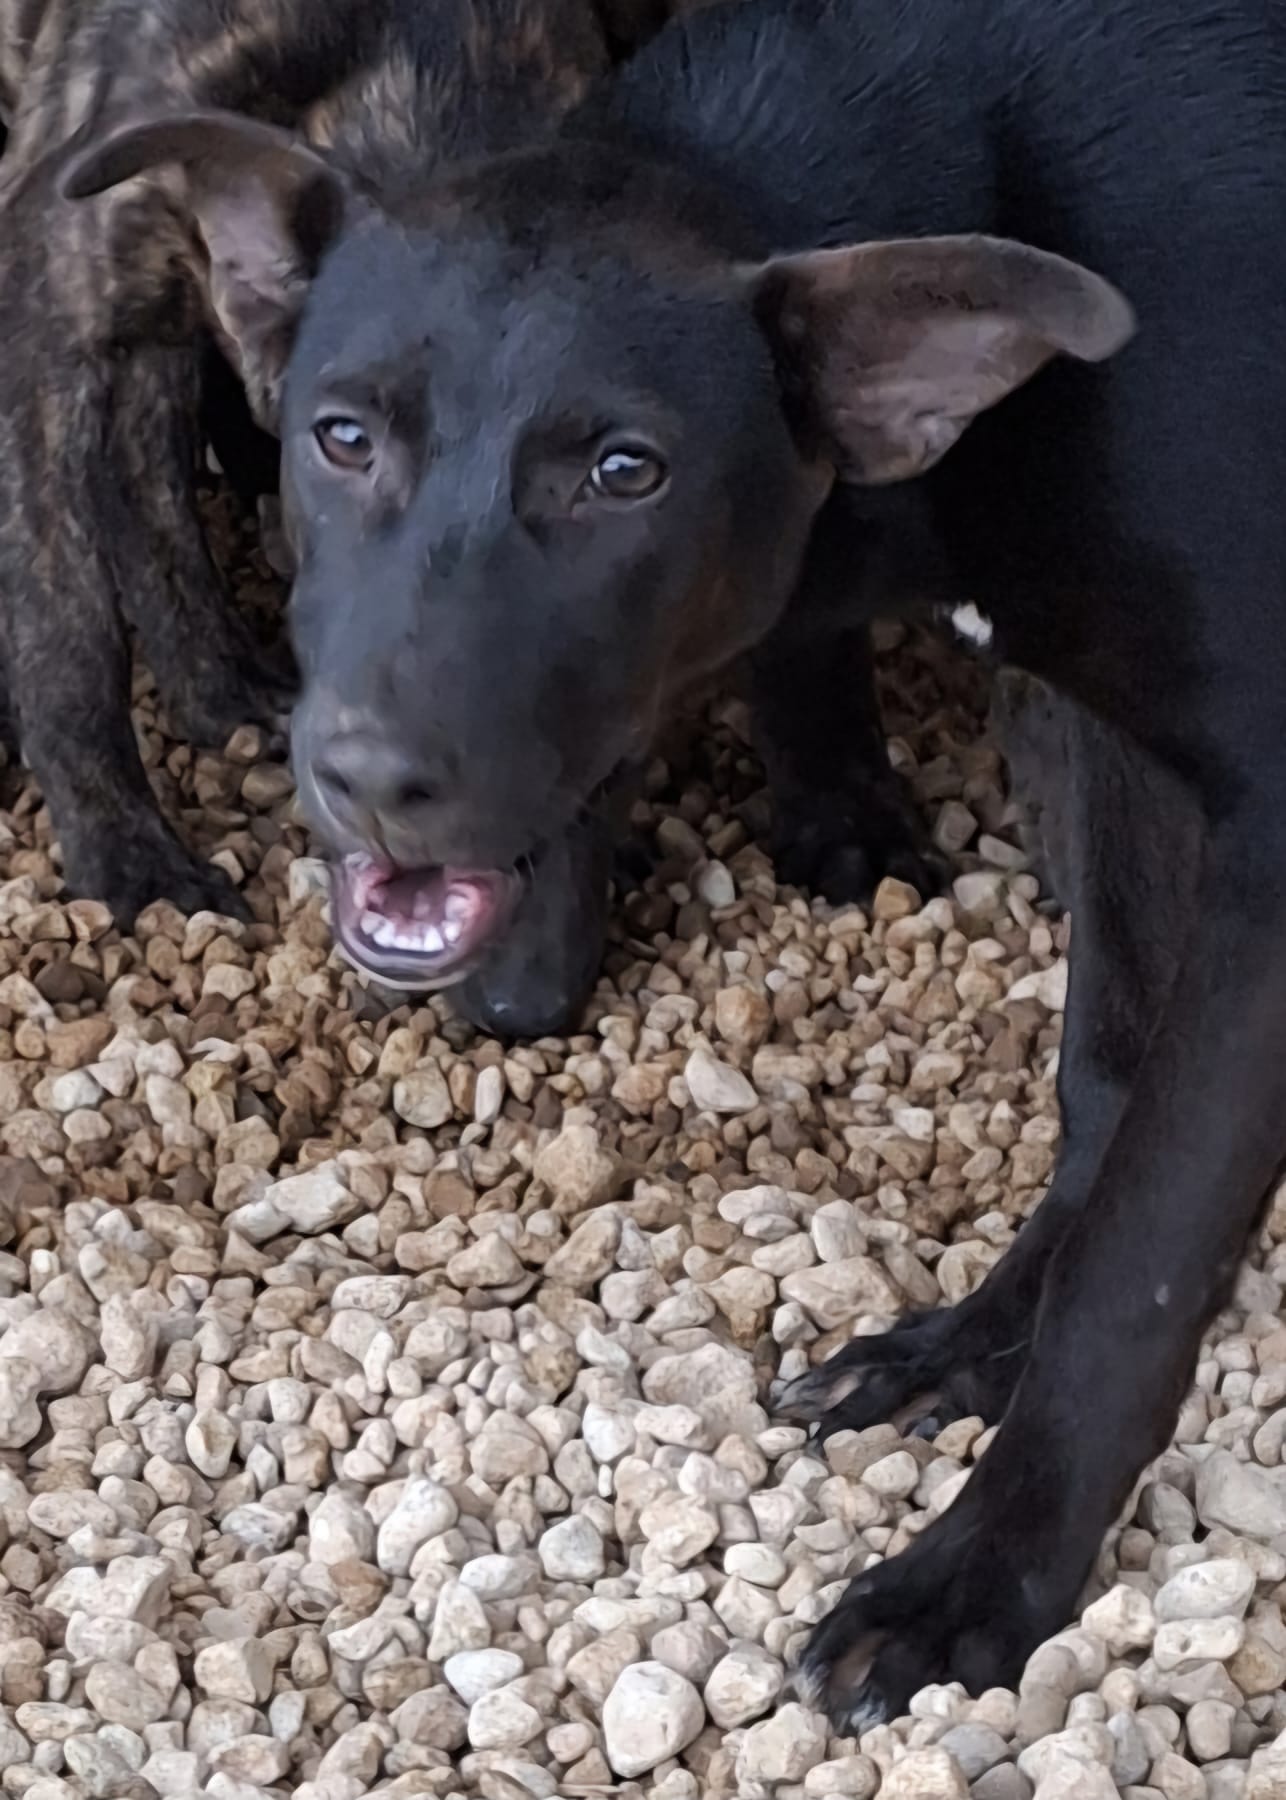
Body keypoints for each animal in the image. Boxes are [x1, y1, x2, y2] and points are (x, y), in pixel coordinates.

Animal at [59, 0, 1286, 1725]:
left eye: (624, 471)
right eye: (340, 436)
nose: (363, 780)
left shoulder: (1267, 828)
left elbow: (1148, 1252)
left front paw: (980, 1576)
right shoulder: (1119, 739)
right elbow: (1104, 1088)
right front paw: (973, 1342)